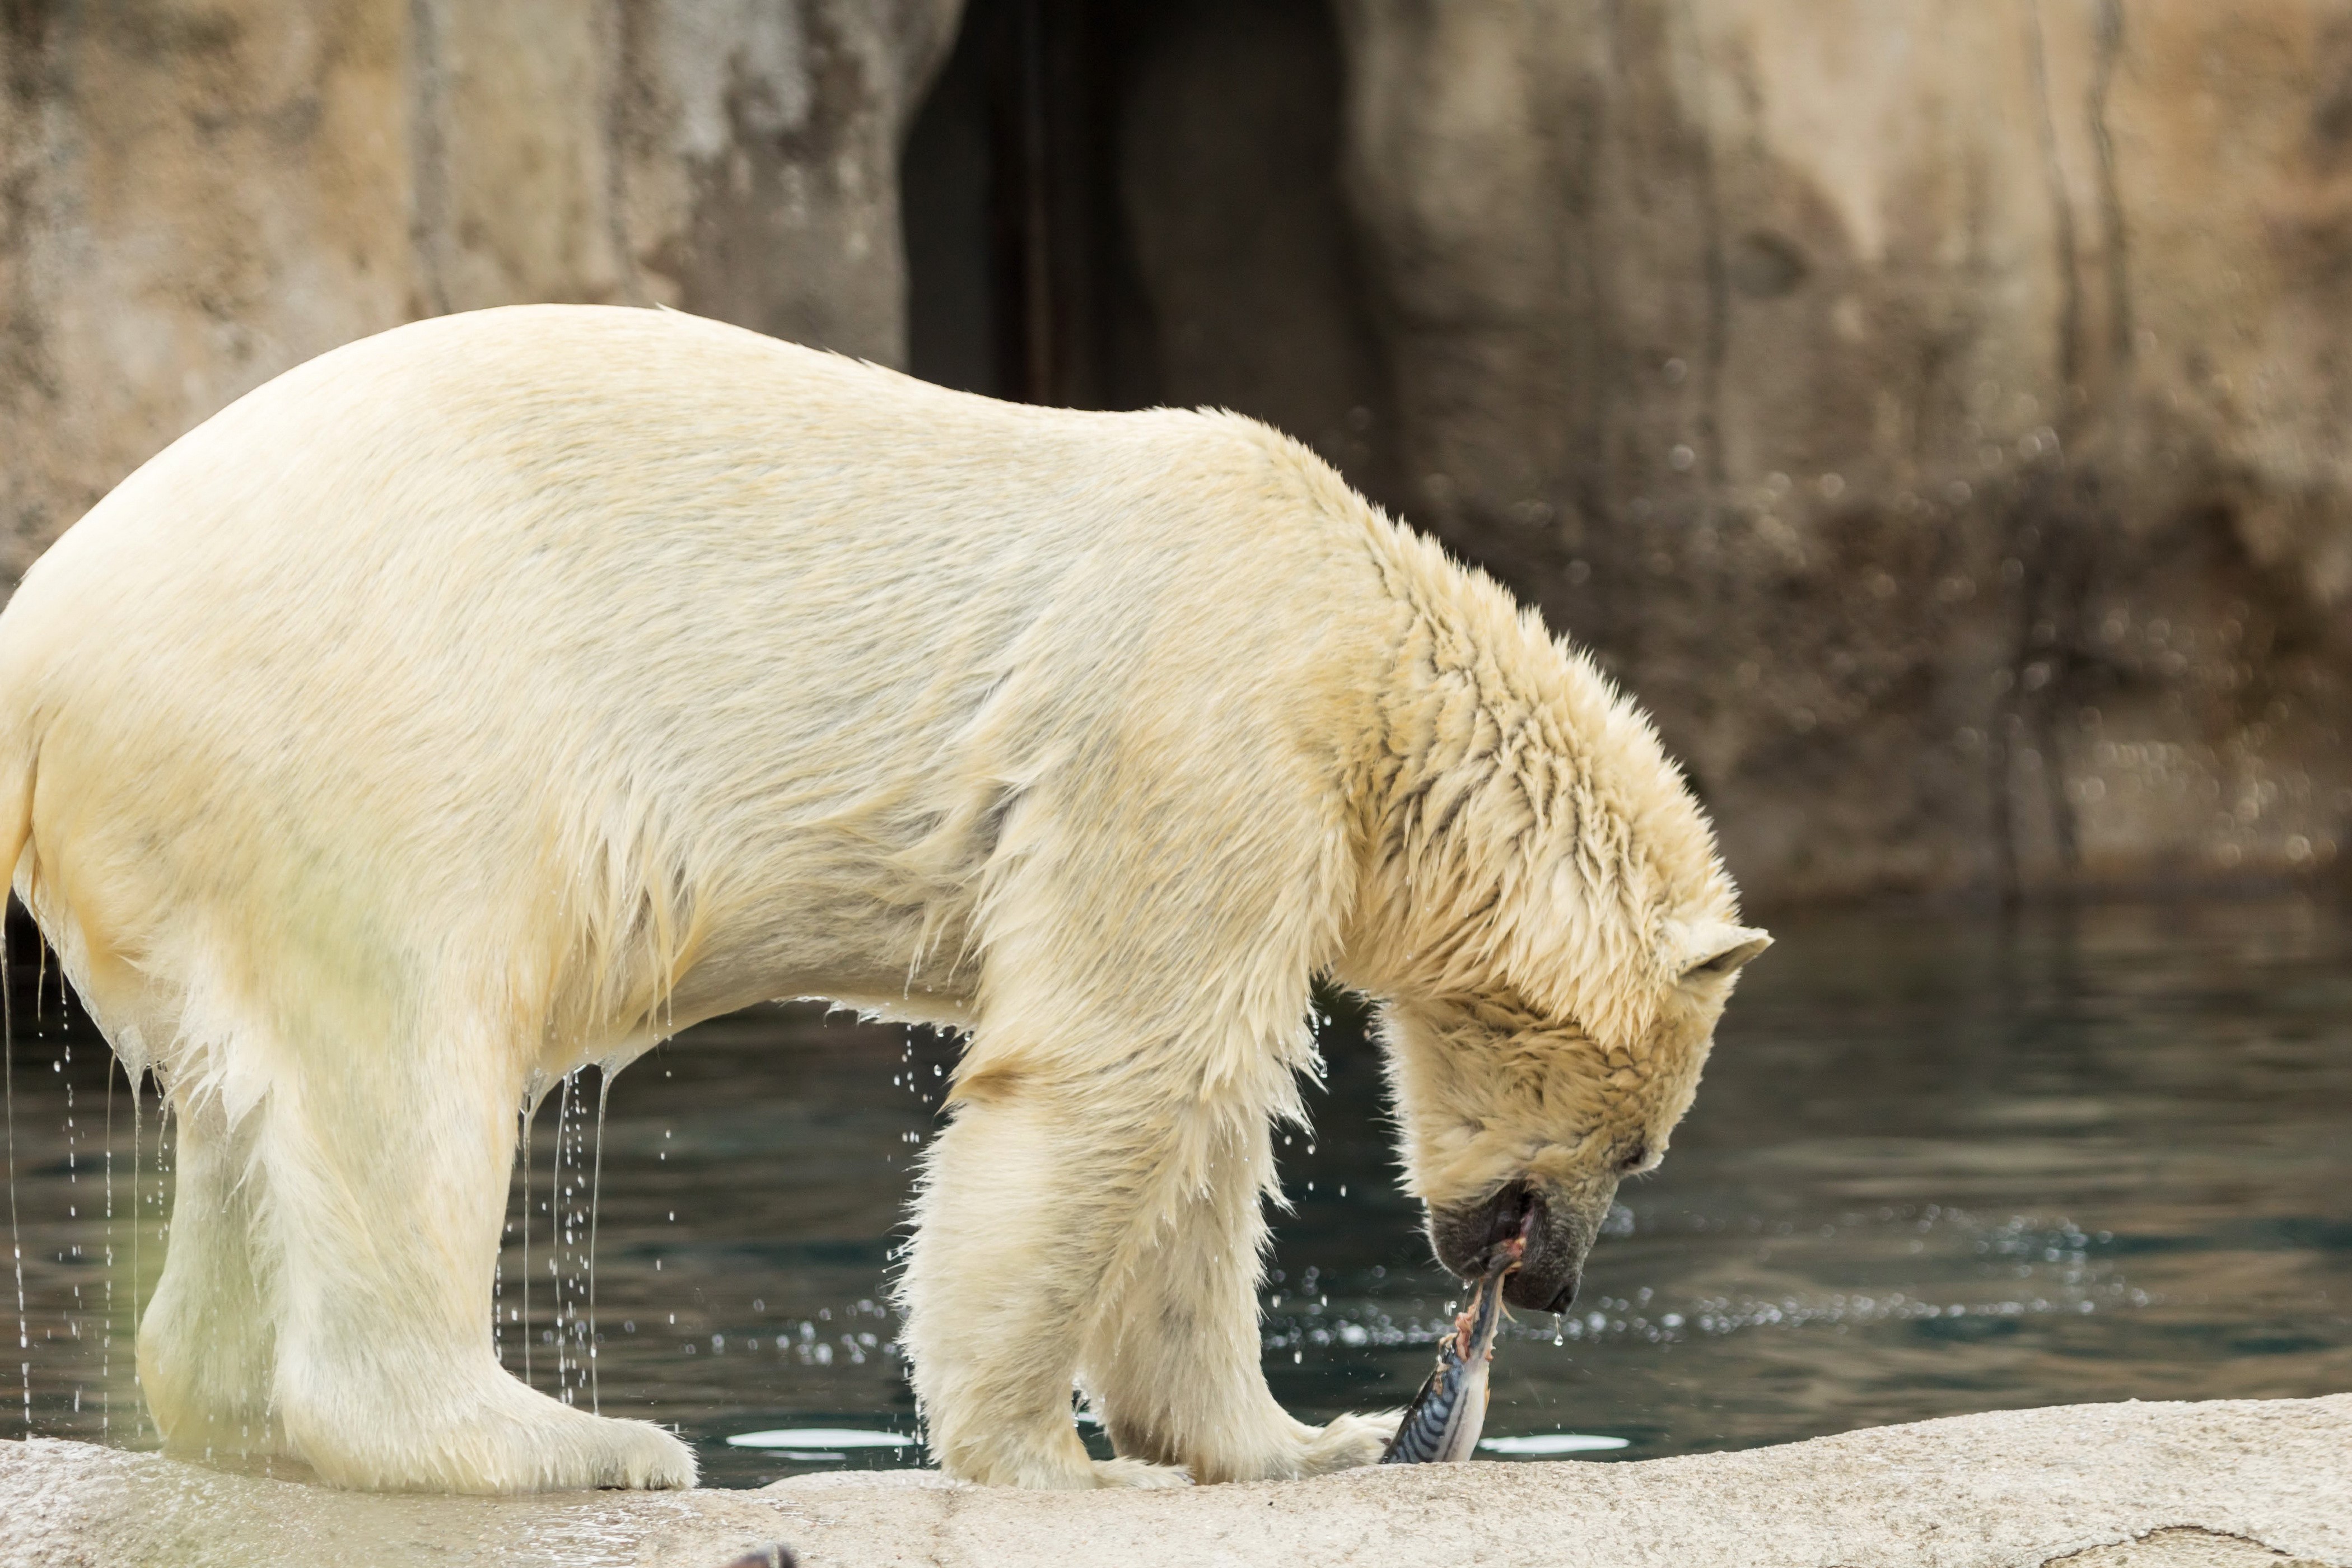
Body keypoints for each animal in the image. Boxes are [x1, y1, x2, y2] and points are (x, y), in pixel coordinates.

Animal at [0, 304, 1767, 1493]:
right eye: (1639, 1147)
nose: (1549, 1285)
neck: (1370, 649)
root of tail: (42, 633)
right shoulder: (1197, 723)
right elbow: (1113, 1073)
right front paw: (1048, 1459)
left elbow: (1211, 1116)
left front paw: (1296, 1440)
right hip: (370, 728)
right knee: (409, 1061)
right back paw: (580, 1442)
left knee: (250, 1111)